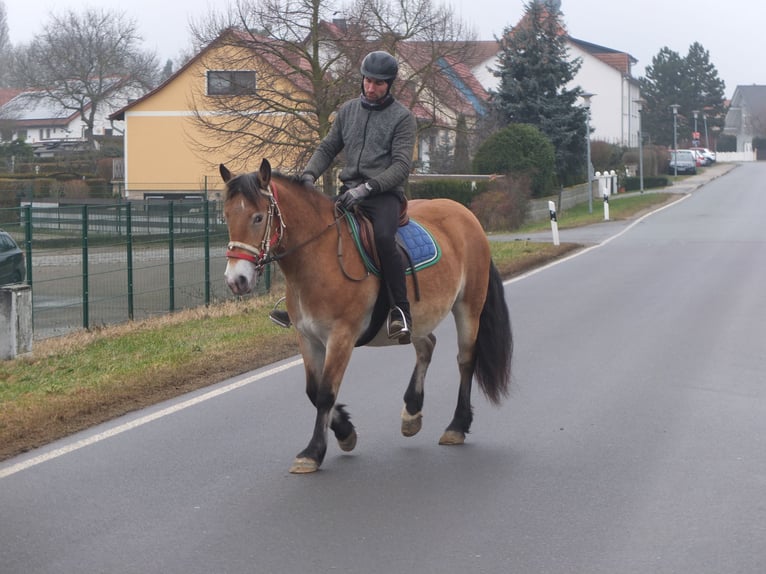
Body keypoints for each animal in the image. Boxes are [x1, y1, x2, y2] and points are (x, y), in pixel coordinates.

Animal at [219, 160, 512, 474]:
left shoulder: (341, 337)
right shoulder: (307, 337)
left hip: (469, 306)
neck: (319, 255)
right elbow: (312, 390)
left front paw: (314, 451)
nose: (236, 280)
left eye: (258, 217)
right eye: (227, 215)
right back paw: (411, 413)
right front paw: (345, 431)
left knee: (465, 360)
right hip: (418, 318)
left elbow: (325, 392)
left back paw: (457, 425)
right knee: (427, 345)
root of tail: (466, 214)